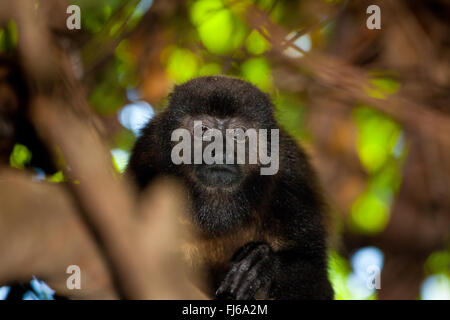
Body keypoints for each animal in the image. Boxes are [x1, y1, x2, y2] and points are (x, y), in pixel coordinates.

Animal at [126, 75, 334, 300]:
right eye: (203, 130)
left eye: (238, 133)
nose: (219, 150)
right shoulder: (147, 155)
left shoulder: (290, 177)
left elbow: (318, 281)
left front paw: (262, 265)